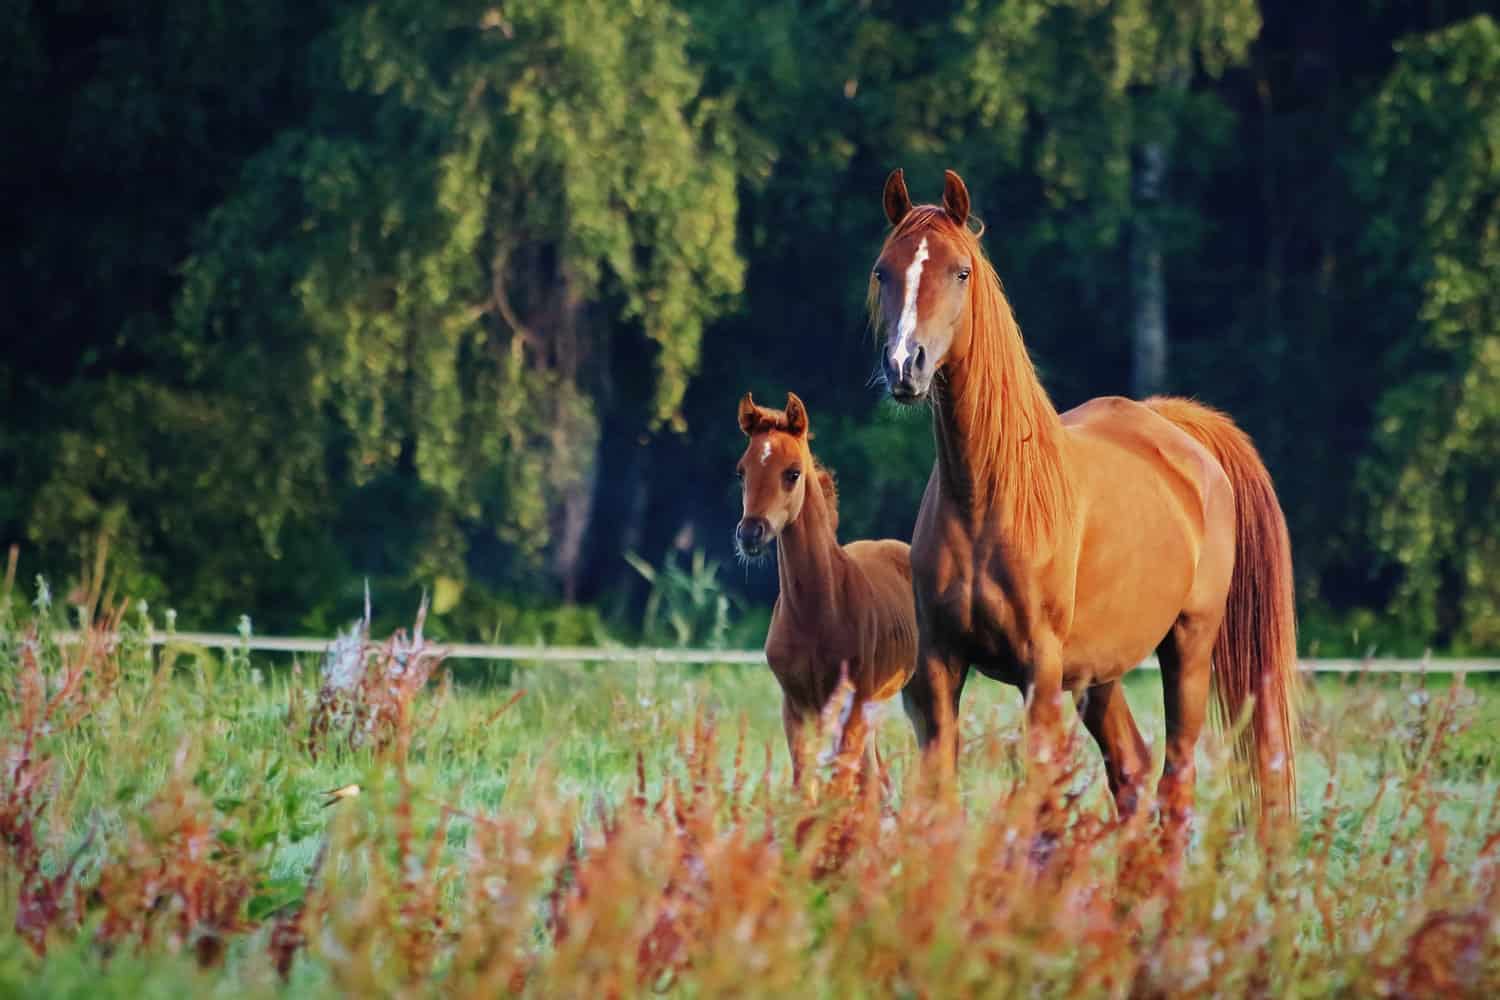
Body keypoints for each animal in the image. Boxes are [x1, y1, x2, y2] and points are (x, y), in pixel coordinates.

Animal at [734, 391, 918, 790]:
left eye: (793, 473)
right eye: (741, 472)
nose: (751, 533)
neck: (815, 612)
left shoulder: (852, 703)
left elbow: (839, 785)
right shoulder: (796, 706)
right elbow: (806, 784)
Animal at [868, 168, 1299, 828]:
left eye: (960, 272)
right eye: (883, 271)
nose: (904, 365)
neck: (988, 499)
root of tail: (1174, 428)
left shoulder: (1040, 673)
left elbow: (1039, 802)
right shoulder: (940, 666)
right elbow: (941, 798)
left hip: (1189, 648)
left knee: (1175, 781)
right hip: (1102, 672)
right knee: (1132, 769)